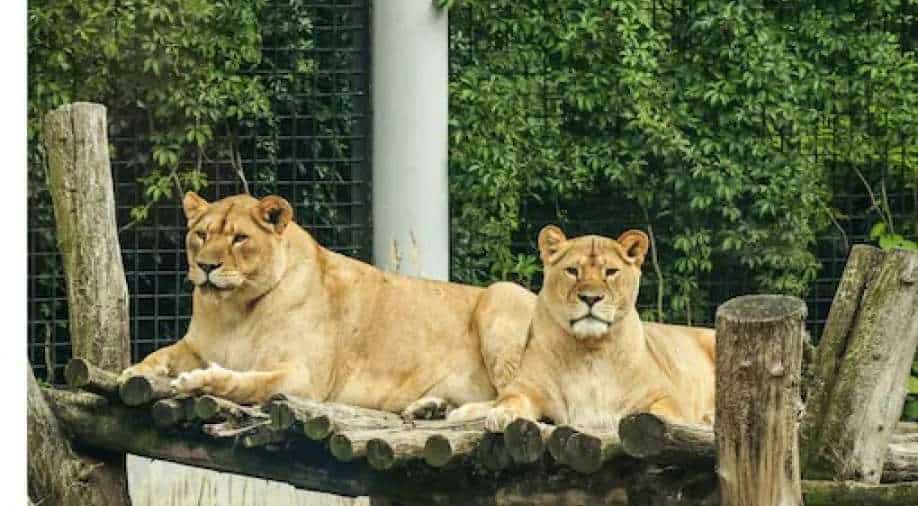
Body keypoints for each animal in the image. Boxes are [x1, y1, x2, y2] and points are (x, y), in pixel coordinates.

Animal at [118, 192, 536, 417]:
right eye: (201, 235)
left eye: (239, 238)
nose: (206, 266)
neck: (235, 310)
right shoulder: (194, 345)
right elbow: (160, 355)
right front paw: (131, 373)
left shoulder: (302, 378)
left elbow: (245, 381)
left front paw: (198, 380)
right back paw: (430, 407)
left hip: (501, 295)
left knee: (529, 406)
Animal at [449, 225, 716, 430]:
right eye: (572, 270)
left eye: (611, 272)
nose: (590, 297)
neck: (590, 351)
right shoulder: (526, 387)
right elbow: (511, 399)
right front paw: (503, 415)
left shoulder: (667, 396)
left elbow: (662, 413)